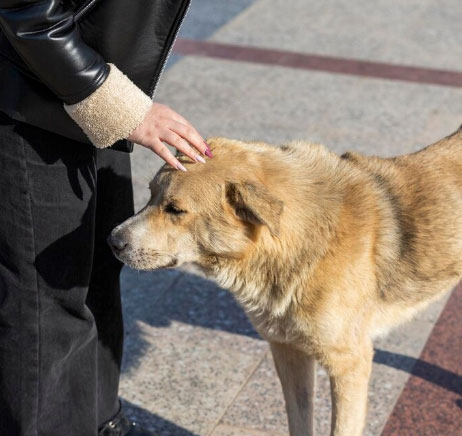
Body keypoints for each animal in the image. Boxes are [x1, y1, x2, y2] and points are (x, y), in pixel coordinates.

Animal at [109, 129, 462, 436]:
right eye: (149, 195)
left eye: (175, 209)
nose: (112, 241)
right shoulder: (288, 351)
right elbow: (299, 420)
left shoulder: (350, 364)